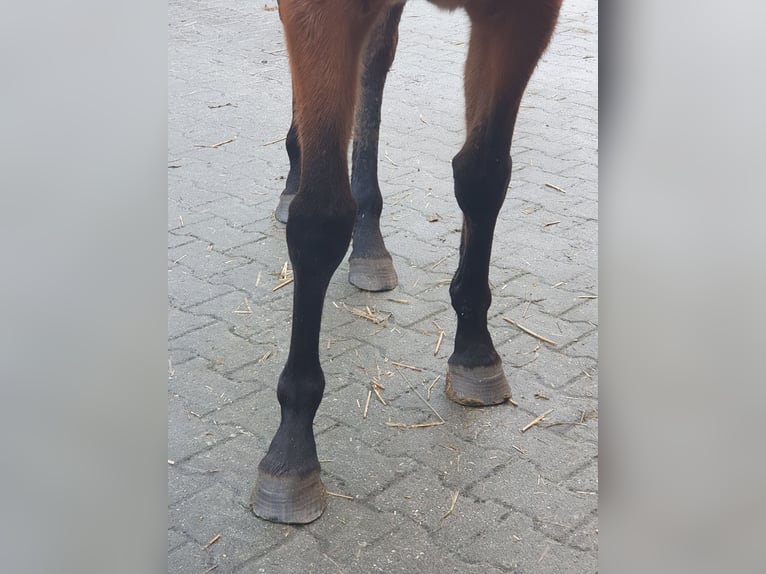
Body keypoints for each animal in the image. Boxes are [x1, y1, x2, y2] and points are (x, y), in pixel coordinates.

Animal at [252, 0, 564, 528]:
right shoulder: (320, 14)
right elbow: (319, 220)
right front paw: (292, 450)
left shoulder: (522, 16)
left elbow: (482, 175)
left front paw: (475, 352)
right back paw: (295, 180)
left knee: (373, 65)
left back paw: (369, 241)